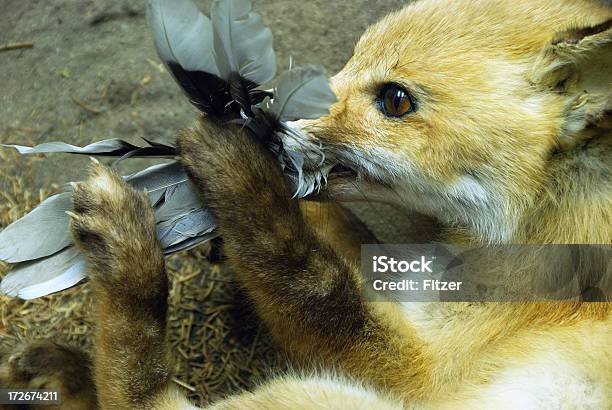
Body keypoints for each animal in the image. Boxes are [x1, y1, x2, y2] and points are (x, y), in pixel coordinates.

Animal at [1, 0, 612, 406]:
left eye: (395, 100)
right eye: (349, 58)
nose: (262, 118)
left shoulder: (427, 374)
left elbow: (309, 278)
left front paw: (243, 178)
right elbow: (334, 244)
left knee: (137, 400)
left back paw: (125, 259)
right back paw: (64, 373)